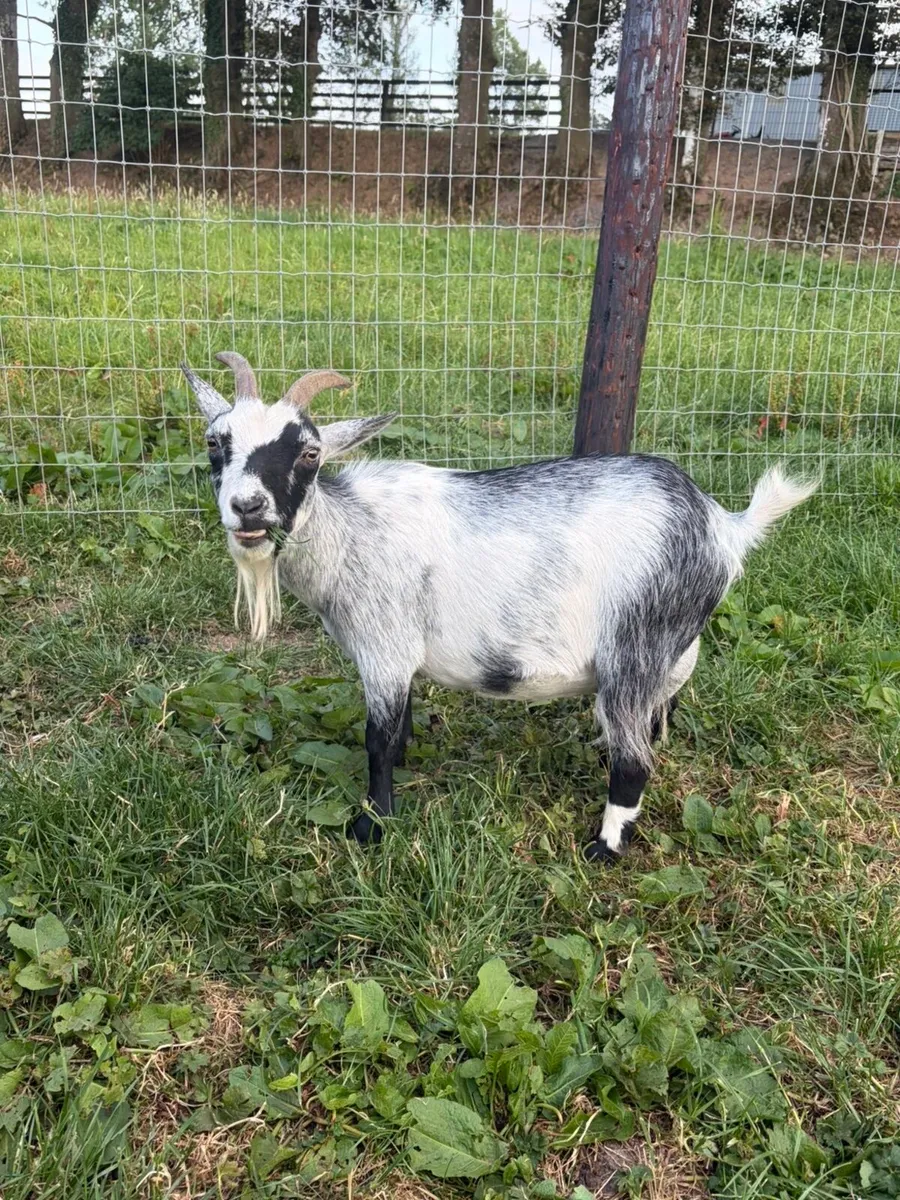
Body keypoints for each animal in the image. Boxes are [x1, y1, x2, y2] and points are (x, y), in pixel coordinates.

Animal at [182, 352, 817, 862]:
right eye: (215, 442)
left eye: (310, 452)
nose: (249, 507)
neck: (349, 532)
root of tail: (723, 525)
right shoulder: (402, 658)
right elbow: (402, 725)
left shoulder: (384, 647)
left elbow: (377, 740)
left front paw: (372, 825)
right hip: (675, 644)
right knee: (664, 706)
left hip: (636, 641)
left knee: (635, 761)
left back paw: (604, 846)